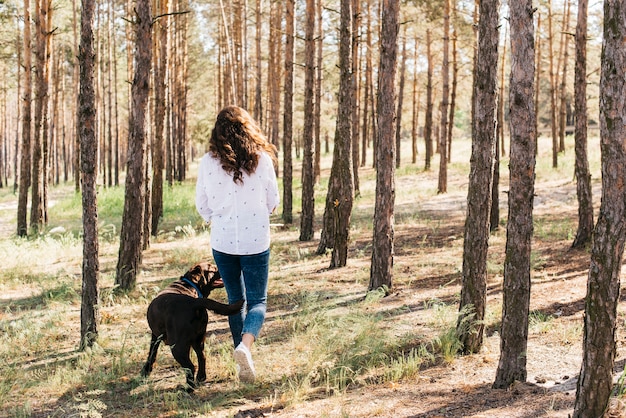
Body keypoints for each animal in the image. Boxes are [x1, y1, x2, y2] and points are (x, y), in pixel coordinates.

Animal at [141, 262, 241, 390]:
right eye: (212, 268)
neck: (189, 285)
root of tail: (194, 302)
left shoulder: (155, 335)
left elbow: (152, 353)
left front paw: (146, 371)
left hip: (177, 346)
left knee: (190, 366)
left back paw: (188, 388)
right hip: (198, 340)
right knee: (202, 357)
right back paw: (200, 378)